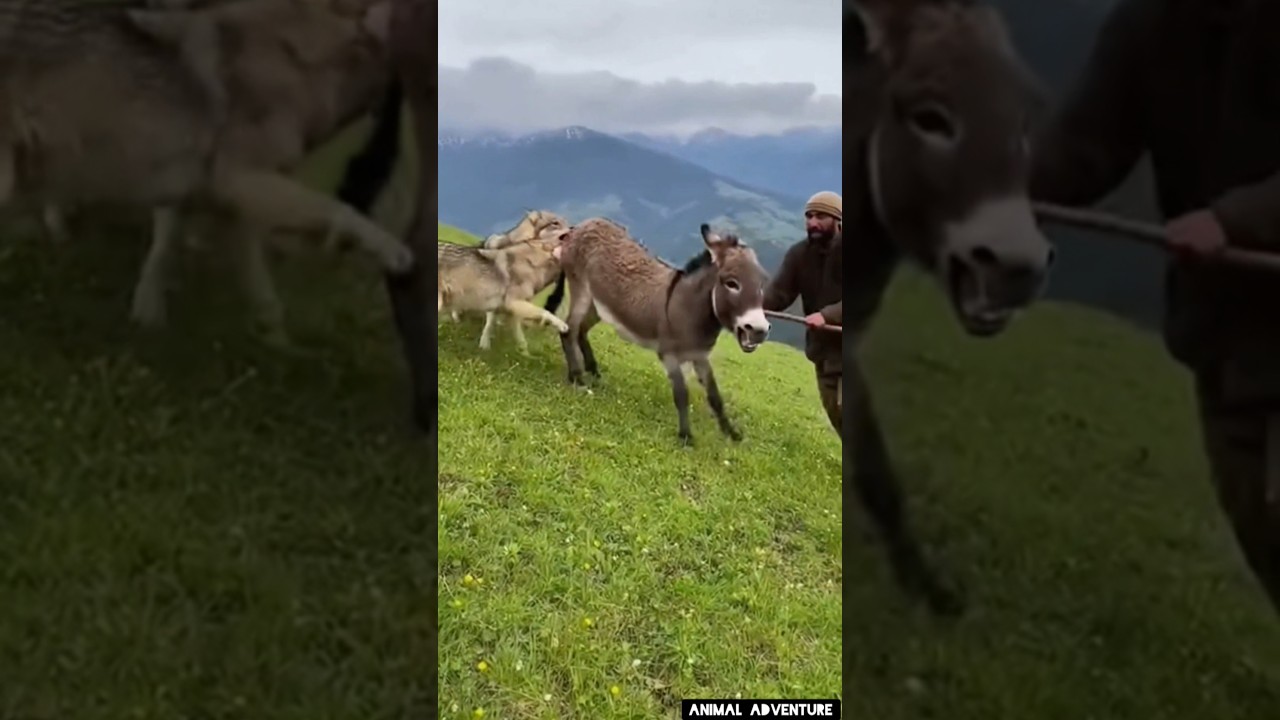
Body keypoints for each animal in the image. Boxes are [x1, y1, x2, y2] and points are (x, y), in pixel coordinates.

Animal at [438, 224, 571, 354]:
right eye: (556, 226)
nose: (572, 228)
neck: (534, 263)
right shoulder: (513, 303)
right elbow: (545, 312)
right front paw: (562, 325)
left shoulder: (509, 309)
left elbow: (517, 336)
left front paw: (524, 354)